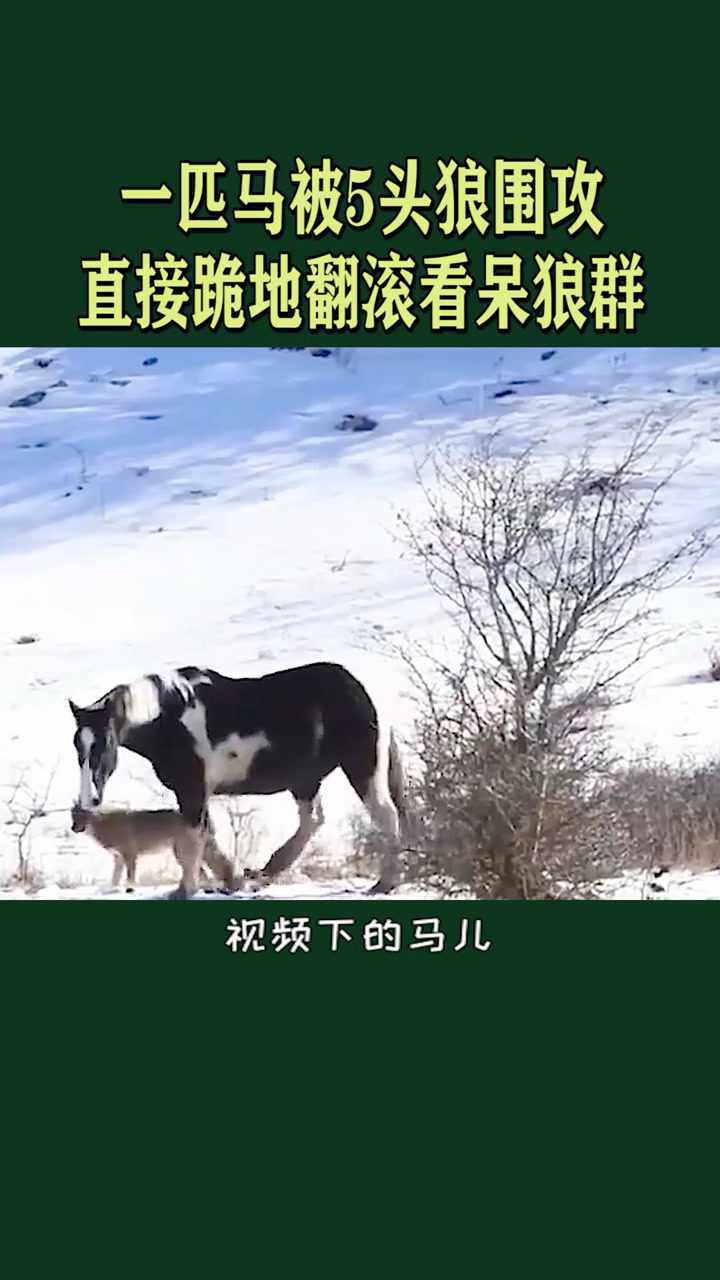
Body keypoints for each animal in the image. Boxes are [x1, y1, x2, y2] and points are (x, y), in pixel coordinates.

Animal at [68, 661, 407, 899]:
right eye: (78, 746)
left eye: (104, 743)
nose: (90, 799)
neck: (169, 720)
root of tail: (363, 689)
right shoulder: (196, 794)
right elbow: (207, 838)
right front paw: (231, 880)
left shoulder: (191, 790)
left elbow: (193, 841)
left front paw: (185, 890)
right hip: (306, 780)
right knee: (312, 821)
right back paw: (265, 873)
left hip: (361, 767)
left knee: (386, 816)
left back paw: (384, 883)